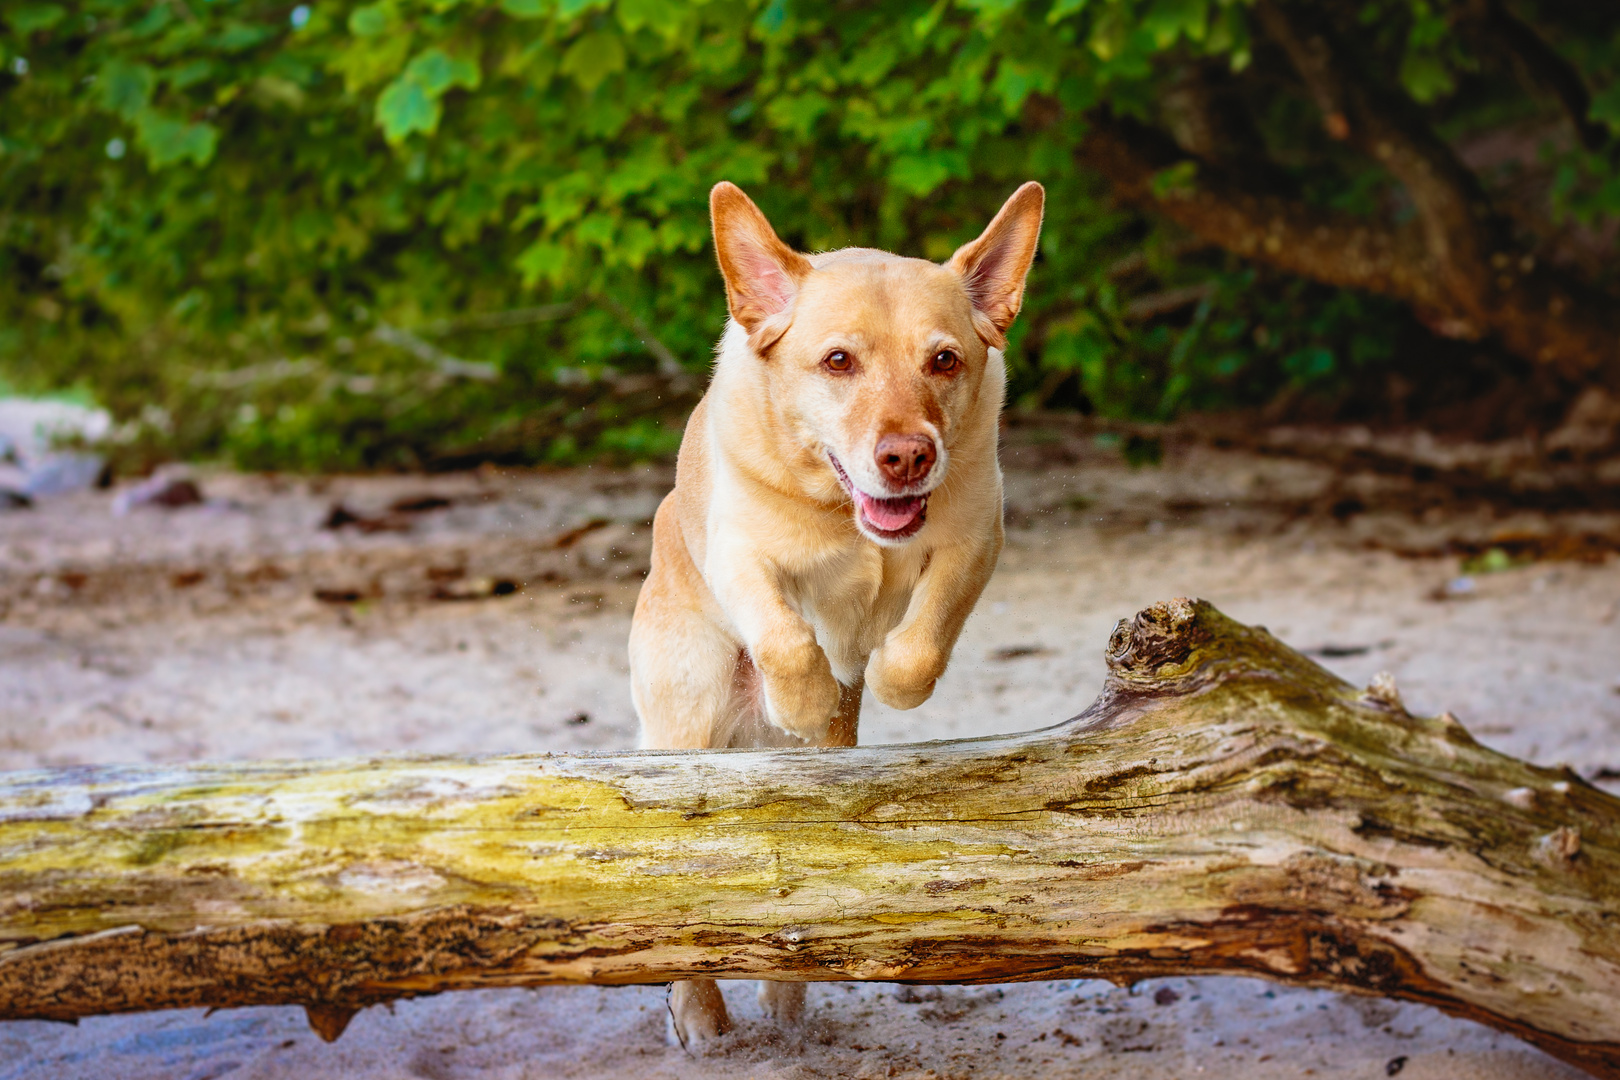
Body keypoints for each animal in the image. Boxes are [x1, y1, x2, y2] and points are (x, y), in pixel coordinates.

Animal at [625, 181, 1043, 1049]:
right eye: (838, 361)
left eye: (944, 359)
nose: (908, 456)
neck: (845, 511)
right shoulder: (740, 555)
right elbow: (787, 638)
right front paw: (805, 694)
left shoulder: (976, 539)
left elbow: (921, 643)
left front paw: (880, 672)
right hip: (686, 719)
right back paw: (701, 1020)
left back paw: (787, 1008)